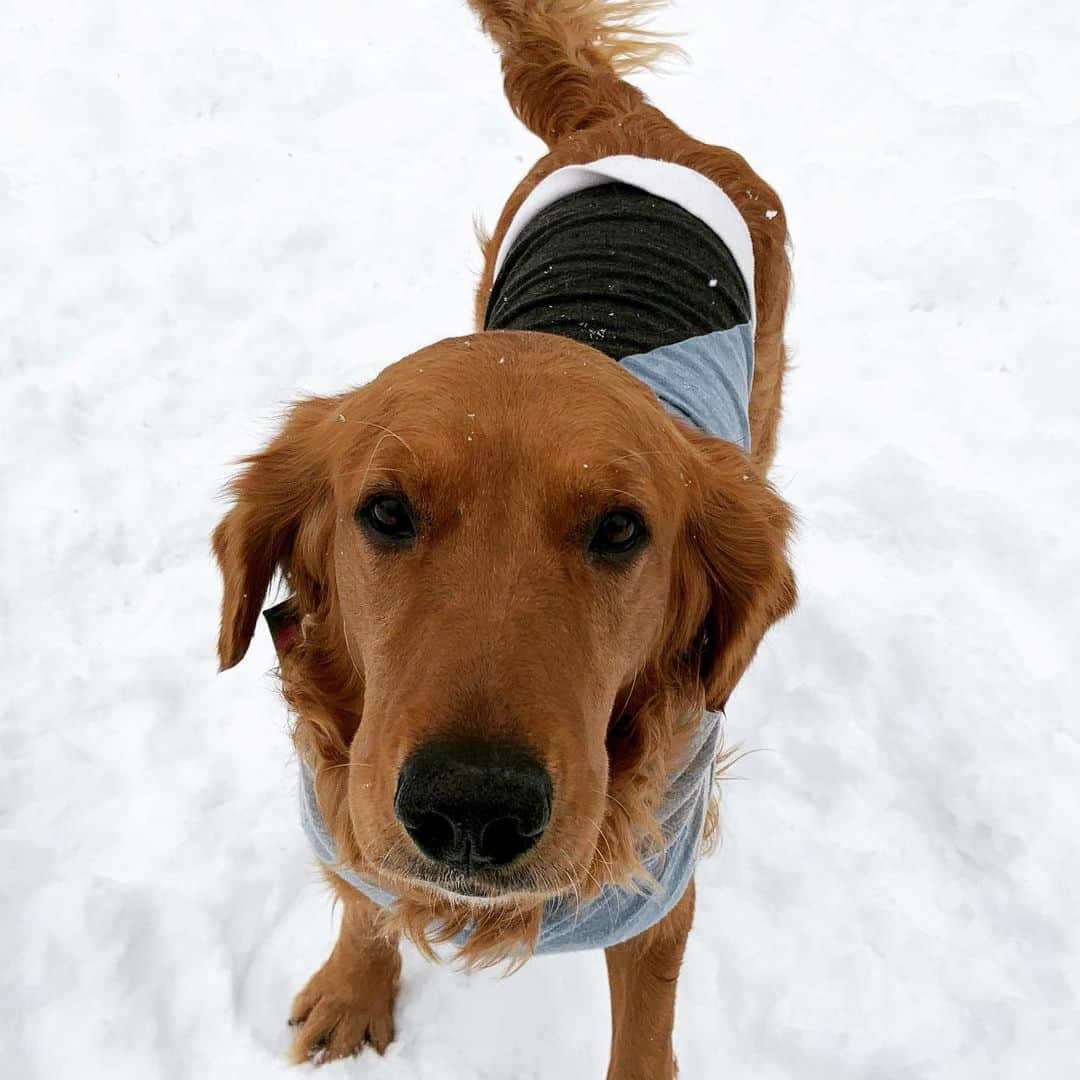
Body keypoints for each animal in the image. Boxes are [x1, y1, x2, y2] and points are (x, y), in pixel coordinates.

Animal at [214, 4, 799, 1075]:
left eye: (621, 528)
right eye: (385, 511)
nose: (473, 810)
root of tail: (636, 122)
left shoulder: (658, 896)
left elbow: (643, 1032)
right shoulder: (349, 799)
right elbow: (366, 890)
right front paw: (353, 989)